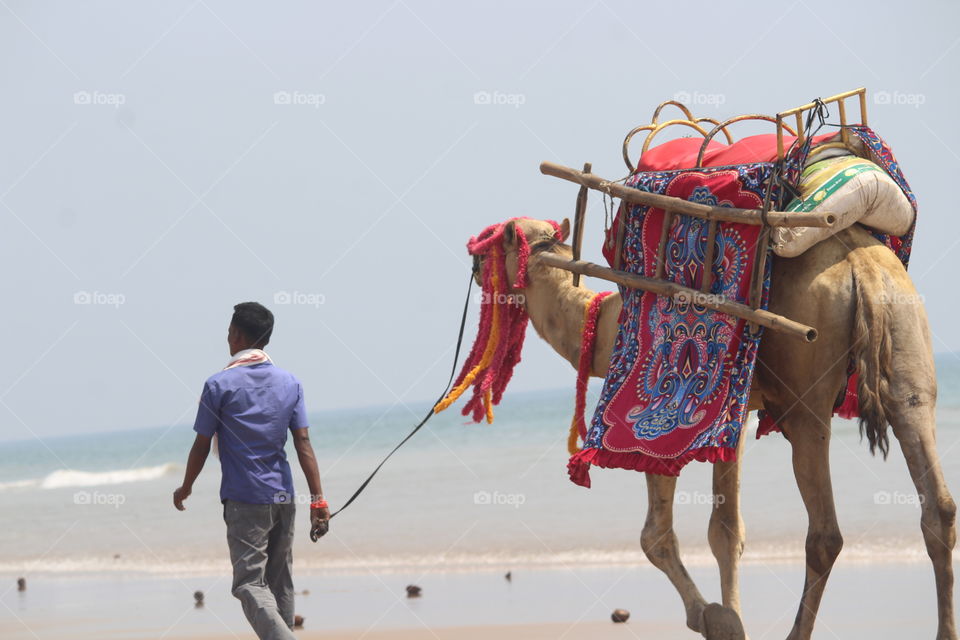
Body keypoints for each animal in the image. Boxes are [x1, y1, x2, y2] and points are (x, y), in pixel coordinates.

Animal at [480, 217, 956, 640]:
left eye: (489, 245)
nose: (473, 260)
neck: (603, 324)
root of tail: (863, 269)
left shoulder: (649, 415)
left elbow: (656, 535)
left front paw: (712, 618)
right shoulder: (735, 416)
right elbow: (726, 528)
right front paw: (731, 618)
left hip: (806, 399)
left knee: (825, 533)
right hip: (907, 339)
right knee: (938, 504)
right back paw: (944, 631)